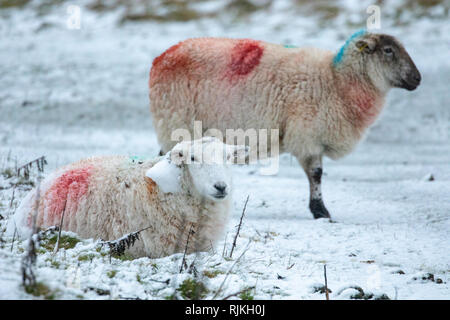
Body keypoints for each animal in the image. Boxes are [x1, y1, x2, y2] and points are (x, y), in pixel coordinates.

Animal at [149, 30, 420, 220]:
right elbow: (316, 174)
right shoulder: (308, 134)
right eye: (388, 50)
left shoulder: (312, 136)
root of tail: (160, 58)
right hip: (175, 120)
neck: (337, 80)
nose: (417, 79)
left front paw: (319, 209)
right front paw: (320, 211)